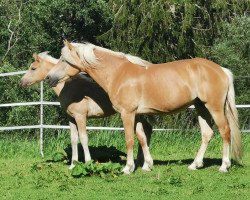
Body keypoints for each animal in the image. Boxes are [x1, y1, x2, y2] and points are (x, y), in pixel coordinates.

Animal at [21, 52, 154, 170]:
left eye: (33, 68)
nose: (21, 82)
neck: (70, 87)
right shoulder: (71, 118)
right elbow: (74, 140)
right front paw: (73, 165)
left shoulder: (81, 117)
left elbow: (84, 139)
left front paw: (88, 162)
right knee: (145, 131)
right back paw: (143, 163)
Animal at [46, 40, 242, 173]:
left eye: (63, 59)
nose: (49, 78)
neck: (118, 74)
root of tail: (222, 70)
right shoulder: (138, 114)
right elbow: (142, 137)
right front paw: (147, 165)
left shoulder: (127, 113)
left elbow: (129, 139)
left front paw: (128, 168)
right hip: (200, 107)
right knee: (207, 134)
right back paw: (195, 164)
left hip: (214, 108)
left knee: (225, 131)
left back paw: (224, 166)